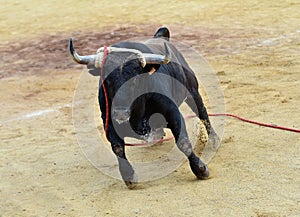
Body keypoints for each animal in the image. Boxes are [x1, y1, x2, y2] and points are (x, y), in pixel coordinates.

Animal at [69, 27, 220, 187]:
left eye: (135, 79)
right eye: (107, 79)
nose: (120, 113)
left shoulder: (172, 112)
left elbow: (183, 142)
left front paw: (200, 169)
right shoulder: (109, 122)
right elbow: (117, 148)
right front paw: (129, 177)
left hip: (192, 90)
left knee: (202, 112)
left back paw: (214, 140)